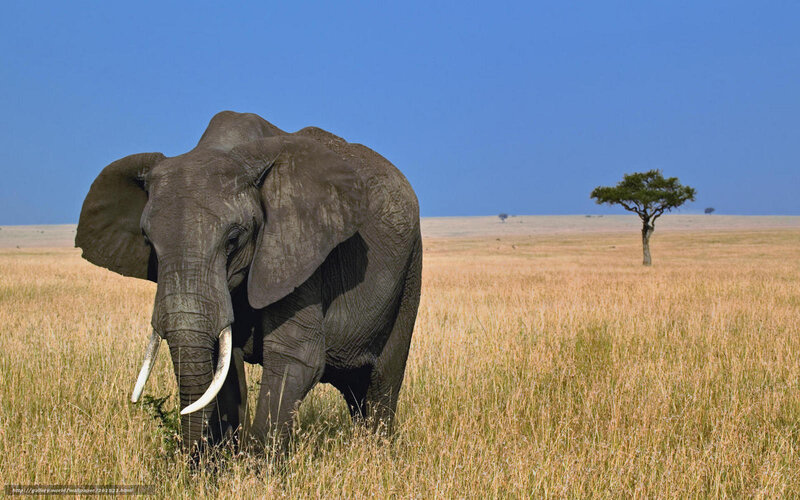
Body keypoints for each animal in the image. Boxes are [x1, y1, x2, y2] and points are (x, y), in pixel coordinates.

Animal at [75, 110, 422, 454]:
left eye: (233, 240)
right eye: (148, 241)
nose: (190, 458)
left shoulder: (297, 250)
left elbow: (296, 356)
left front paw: (256, 466)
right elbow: (224, 366)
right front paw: (222, 462)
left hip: (409, 271)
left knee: (381, 380)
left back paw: (375, 452)